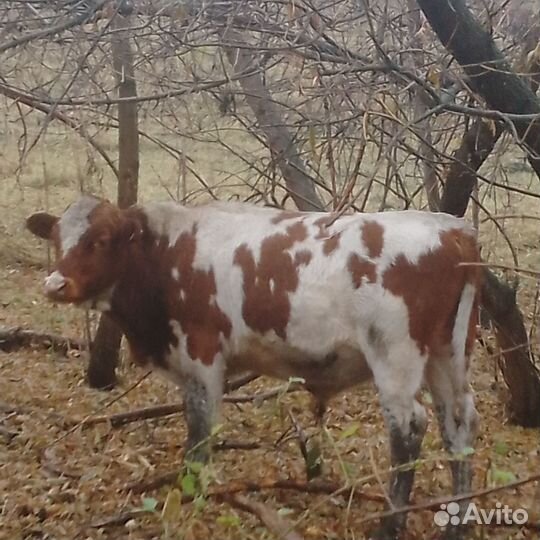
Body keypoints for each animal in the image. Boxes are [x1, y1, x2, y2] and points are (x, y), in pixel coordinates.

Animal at [26, 197, 480, 540]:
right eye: (57, 238)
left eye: (100, 240)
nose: (55, 285)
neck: (167, 253)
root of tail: (452, 230)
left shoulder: (203, 357)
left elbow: (200, 433)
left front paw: (193, 494)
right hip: (446, 356)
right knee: (457, 424)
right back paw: (456, 524)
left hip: (395, 358)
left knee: (409, 429)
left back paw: (390, 525)